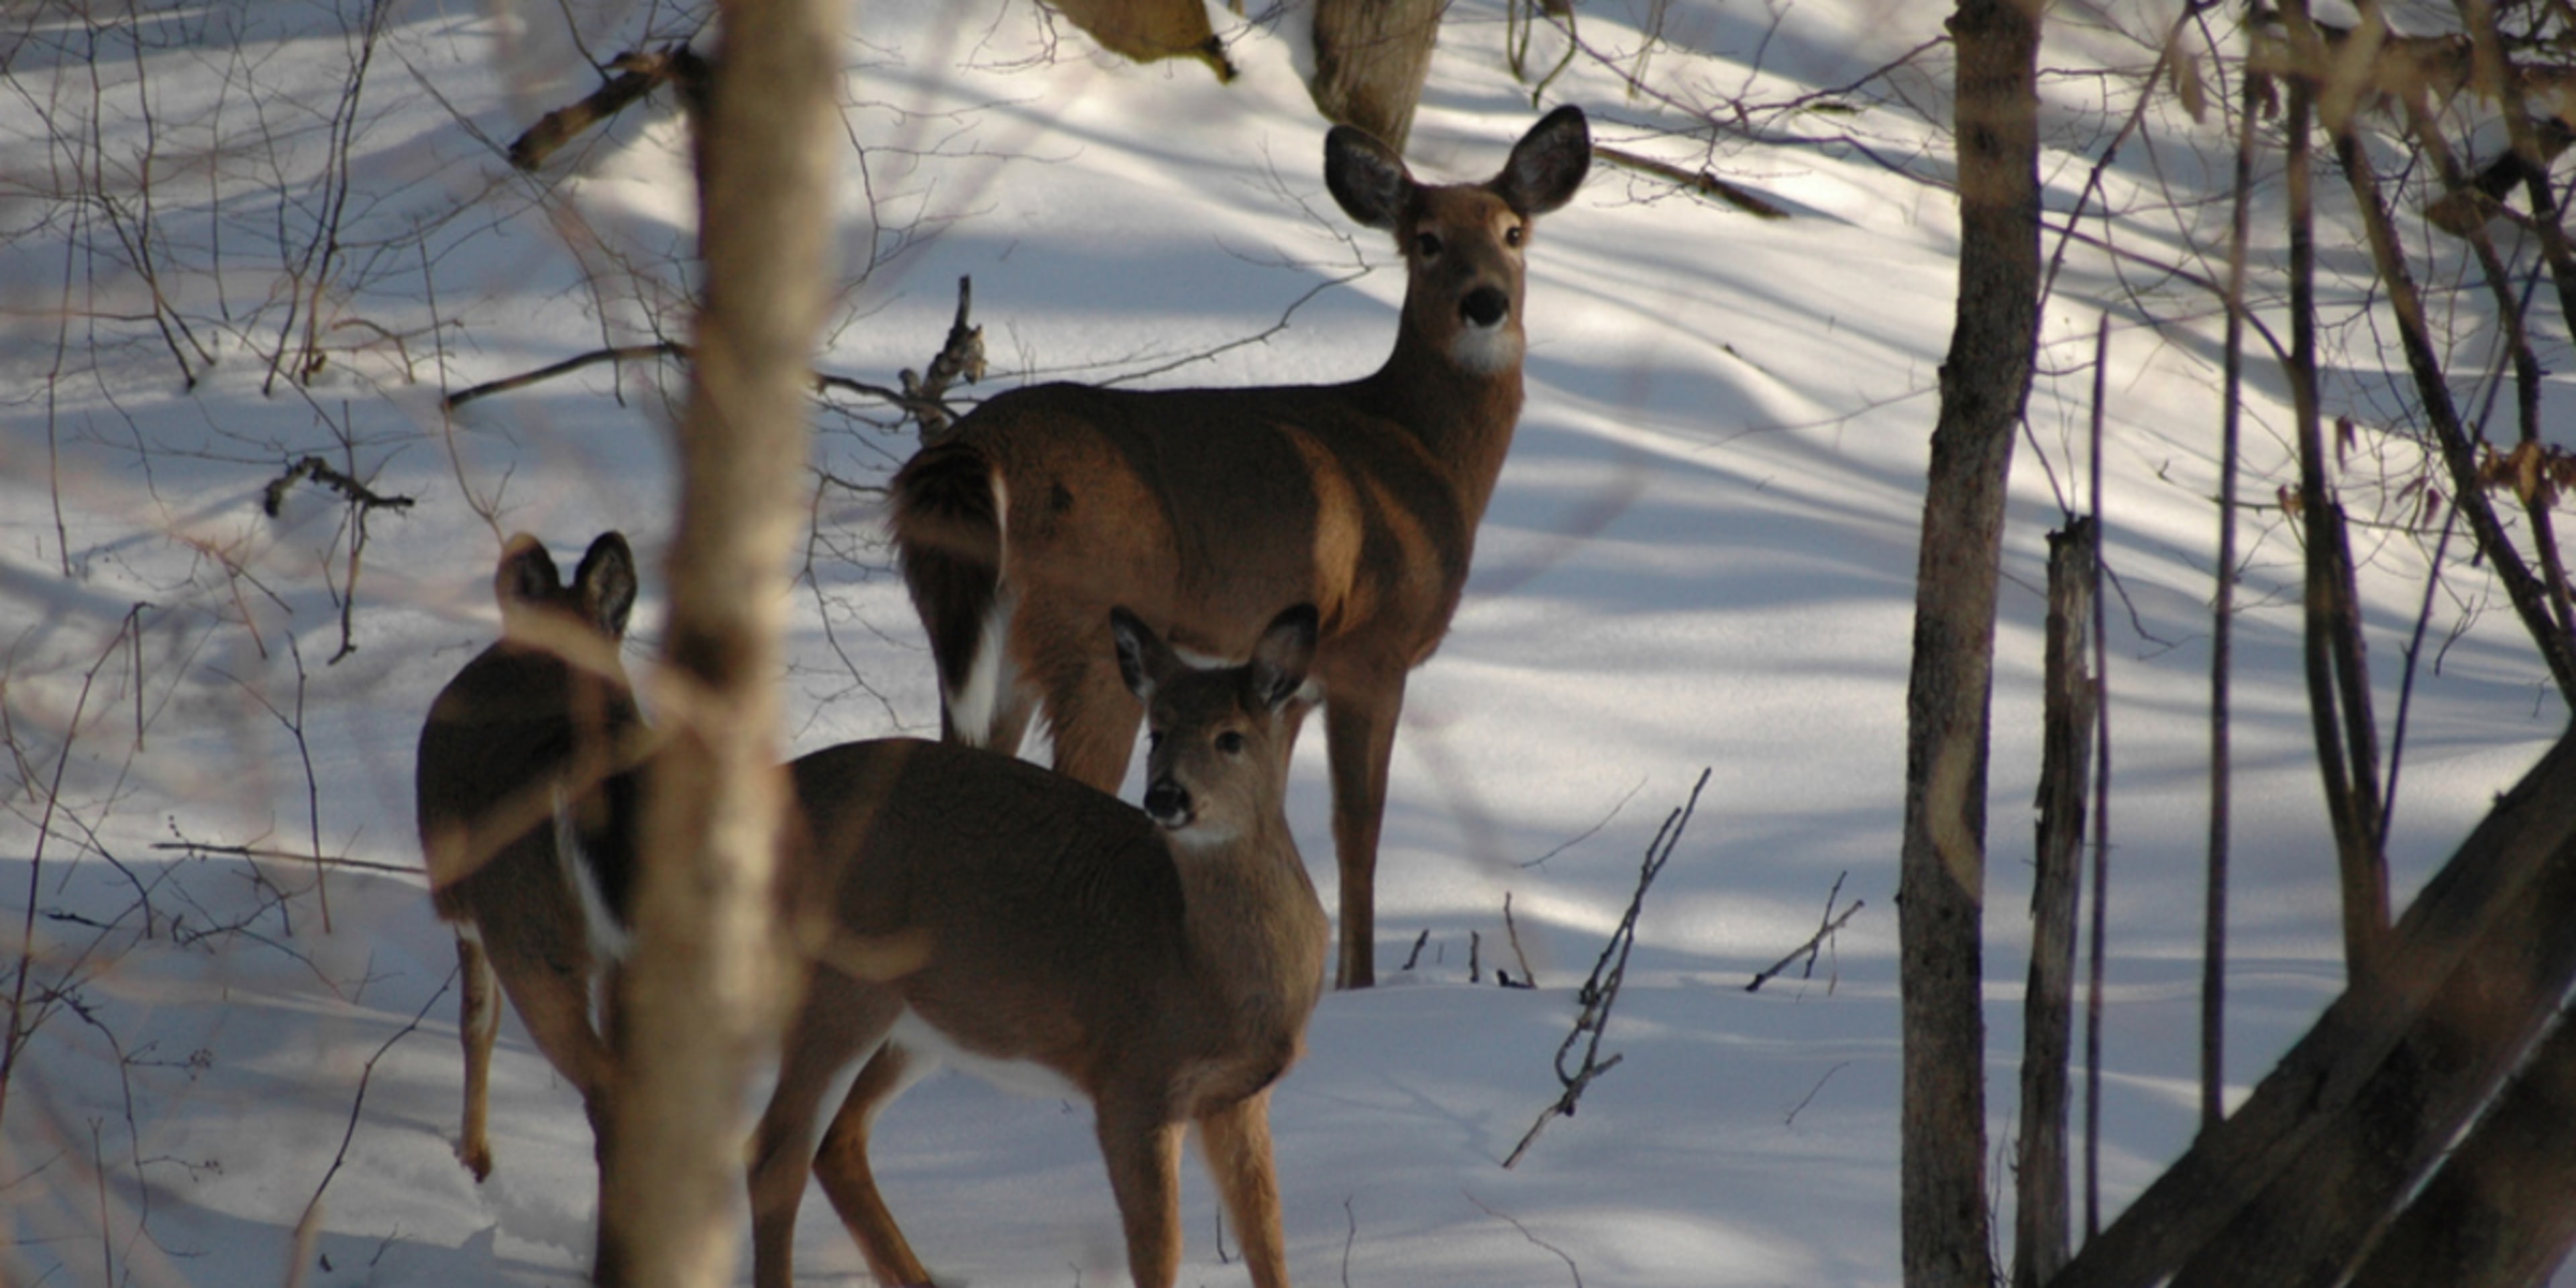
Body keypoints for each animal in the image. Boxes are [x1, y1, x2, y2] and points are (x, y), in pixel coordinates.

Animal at [748, 603, 1329, 1288]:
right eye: (1156, 733)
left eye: (1231, 737)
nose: (1165, 796)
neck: (1196, 961)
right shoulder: (1134, 1078)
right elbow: (1157, 1246)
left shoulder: (1237, 1095)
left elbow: (1266, 1234)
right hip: (838, 986)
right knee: (774, 1155)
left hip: (916, 1023)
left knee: (836, 1139)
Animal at [889, 105, 1591, 988]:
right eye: (1426, 239)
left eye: (1513, 232)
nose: (1486, 303)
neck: (1419, 452)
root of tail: (978, 448)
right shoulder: (1373, 650)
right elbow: (1358, 833)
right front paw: (1357, 985)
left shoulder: (1284, 684)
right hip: (1091, 630)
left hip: (981, 641)